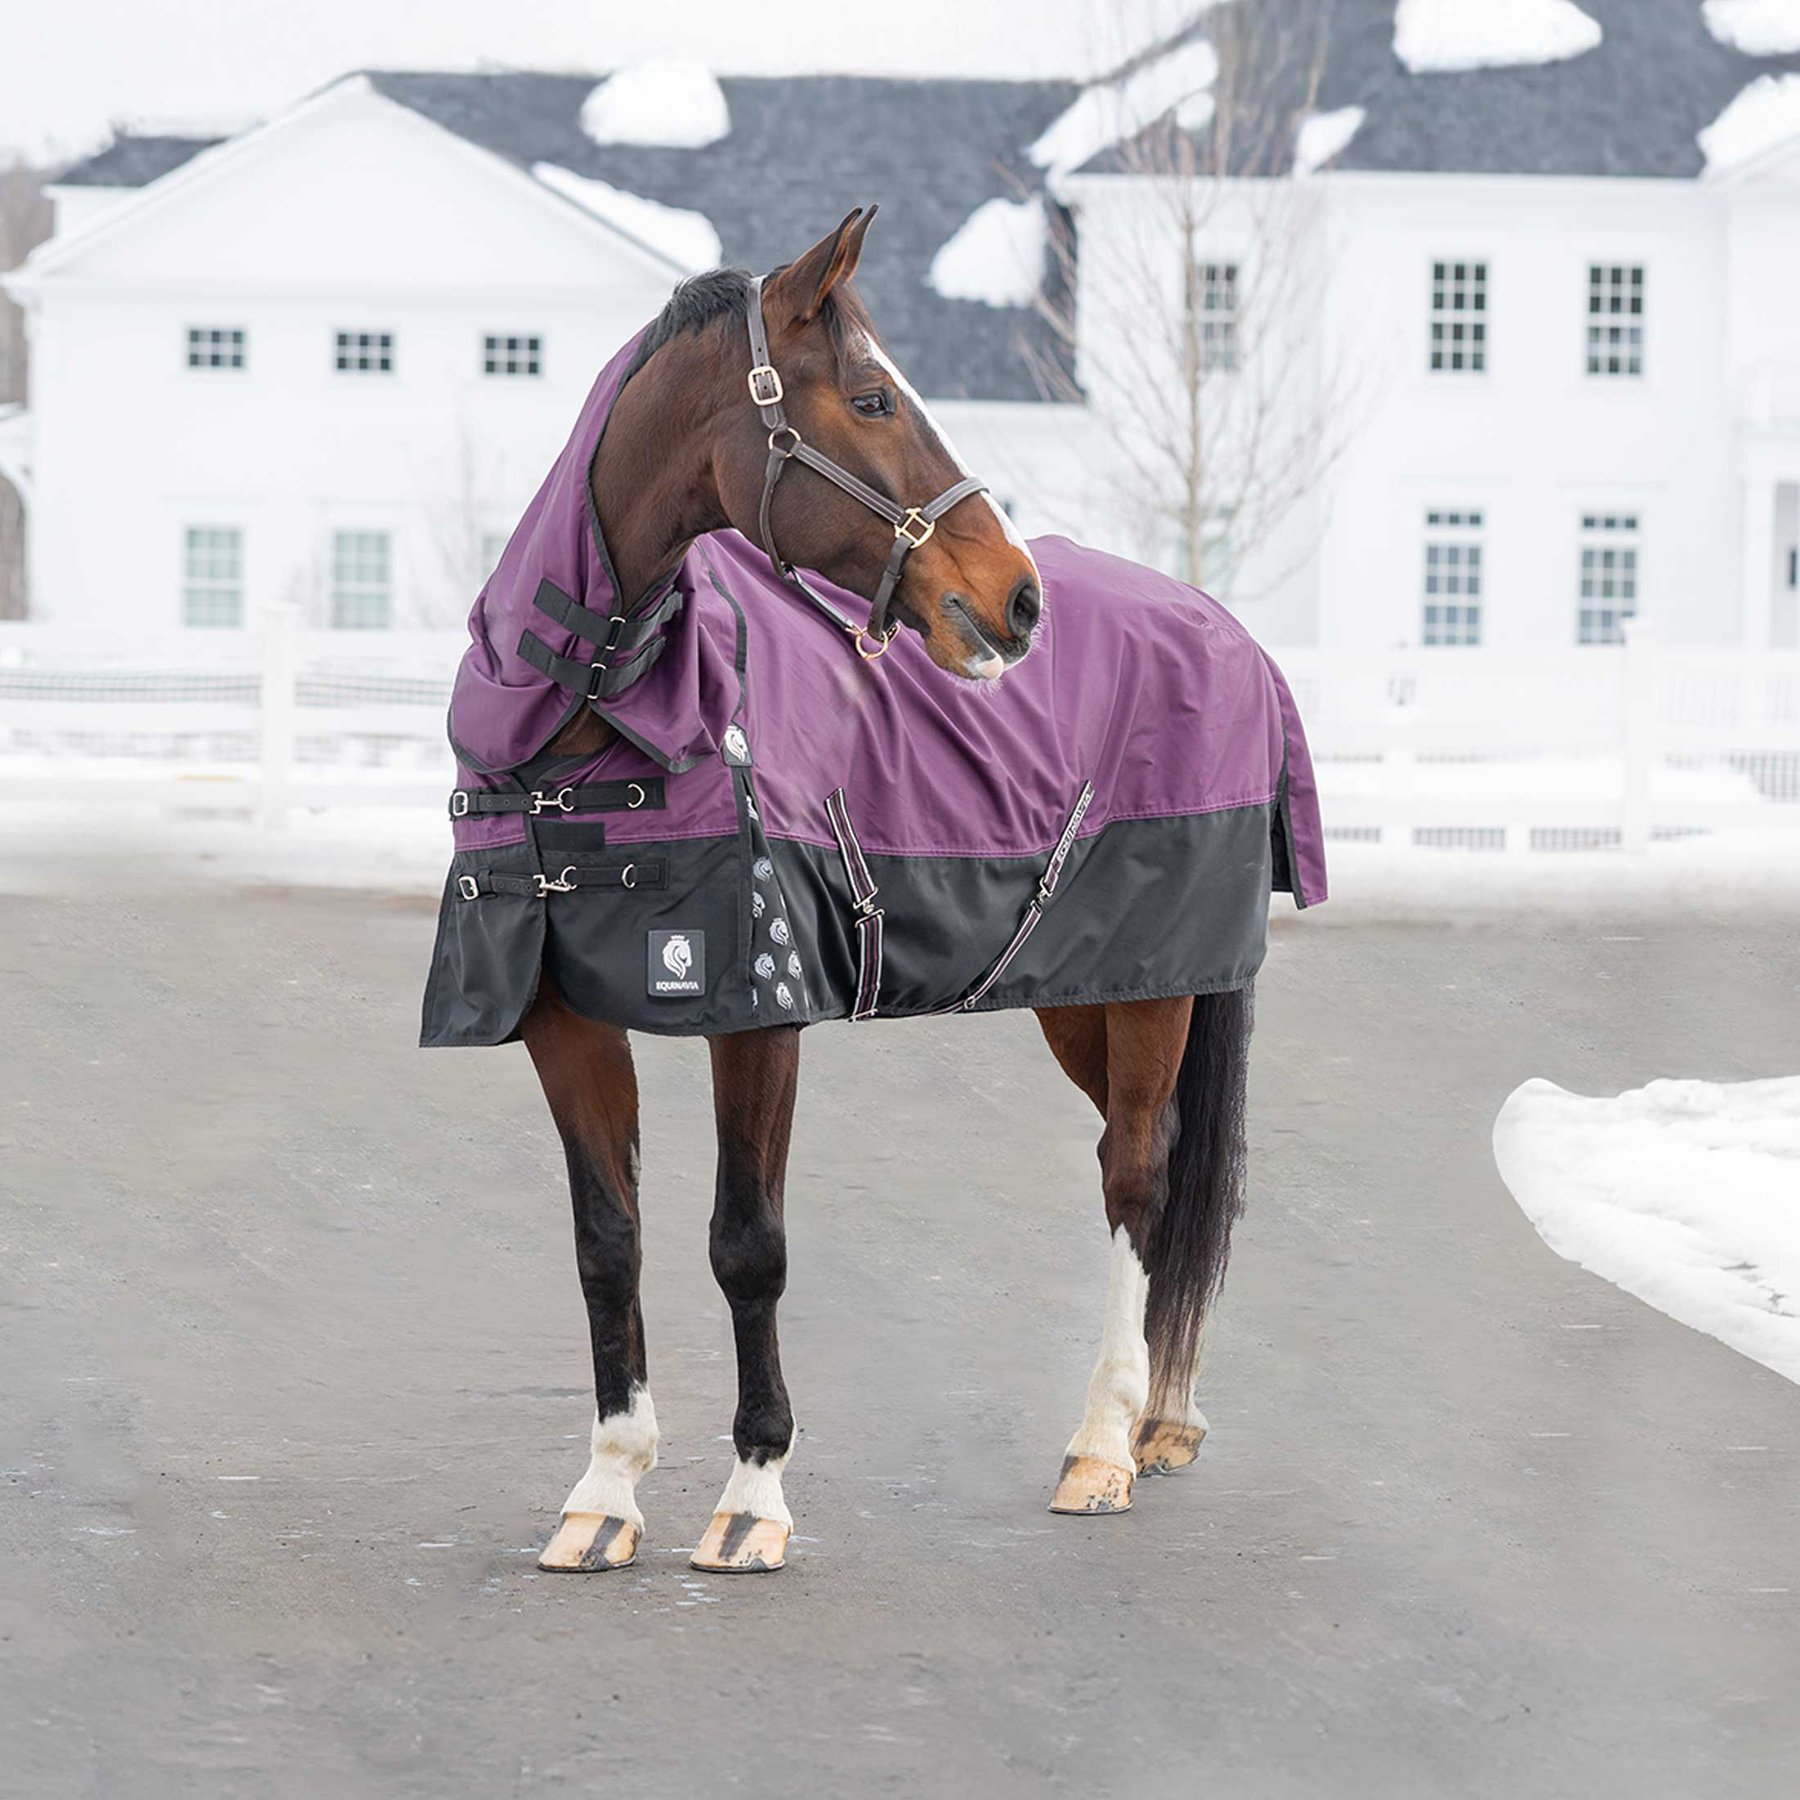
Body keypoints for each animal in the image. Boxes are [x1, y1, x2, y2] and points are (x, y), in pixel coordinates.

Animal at [423, 206, 1324, 1575]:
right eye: (869, 397)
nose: (1017, 597)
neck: (587, 736)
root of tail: (1226, 629)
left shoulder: (758, 1016)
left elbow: (747, 1246)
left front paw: (752, 1497)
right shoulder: (562, 1021)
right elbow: (606, 1245)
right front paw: (606, 1491)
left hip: (1156, 992)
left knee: (1141, 1175)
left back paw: (1104, 1445)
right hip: (1085, 995)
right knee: (1153, 1171)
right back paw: (1161, 1418)